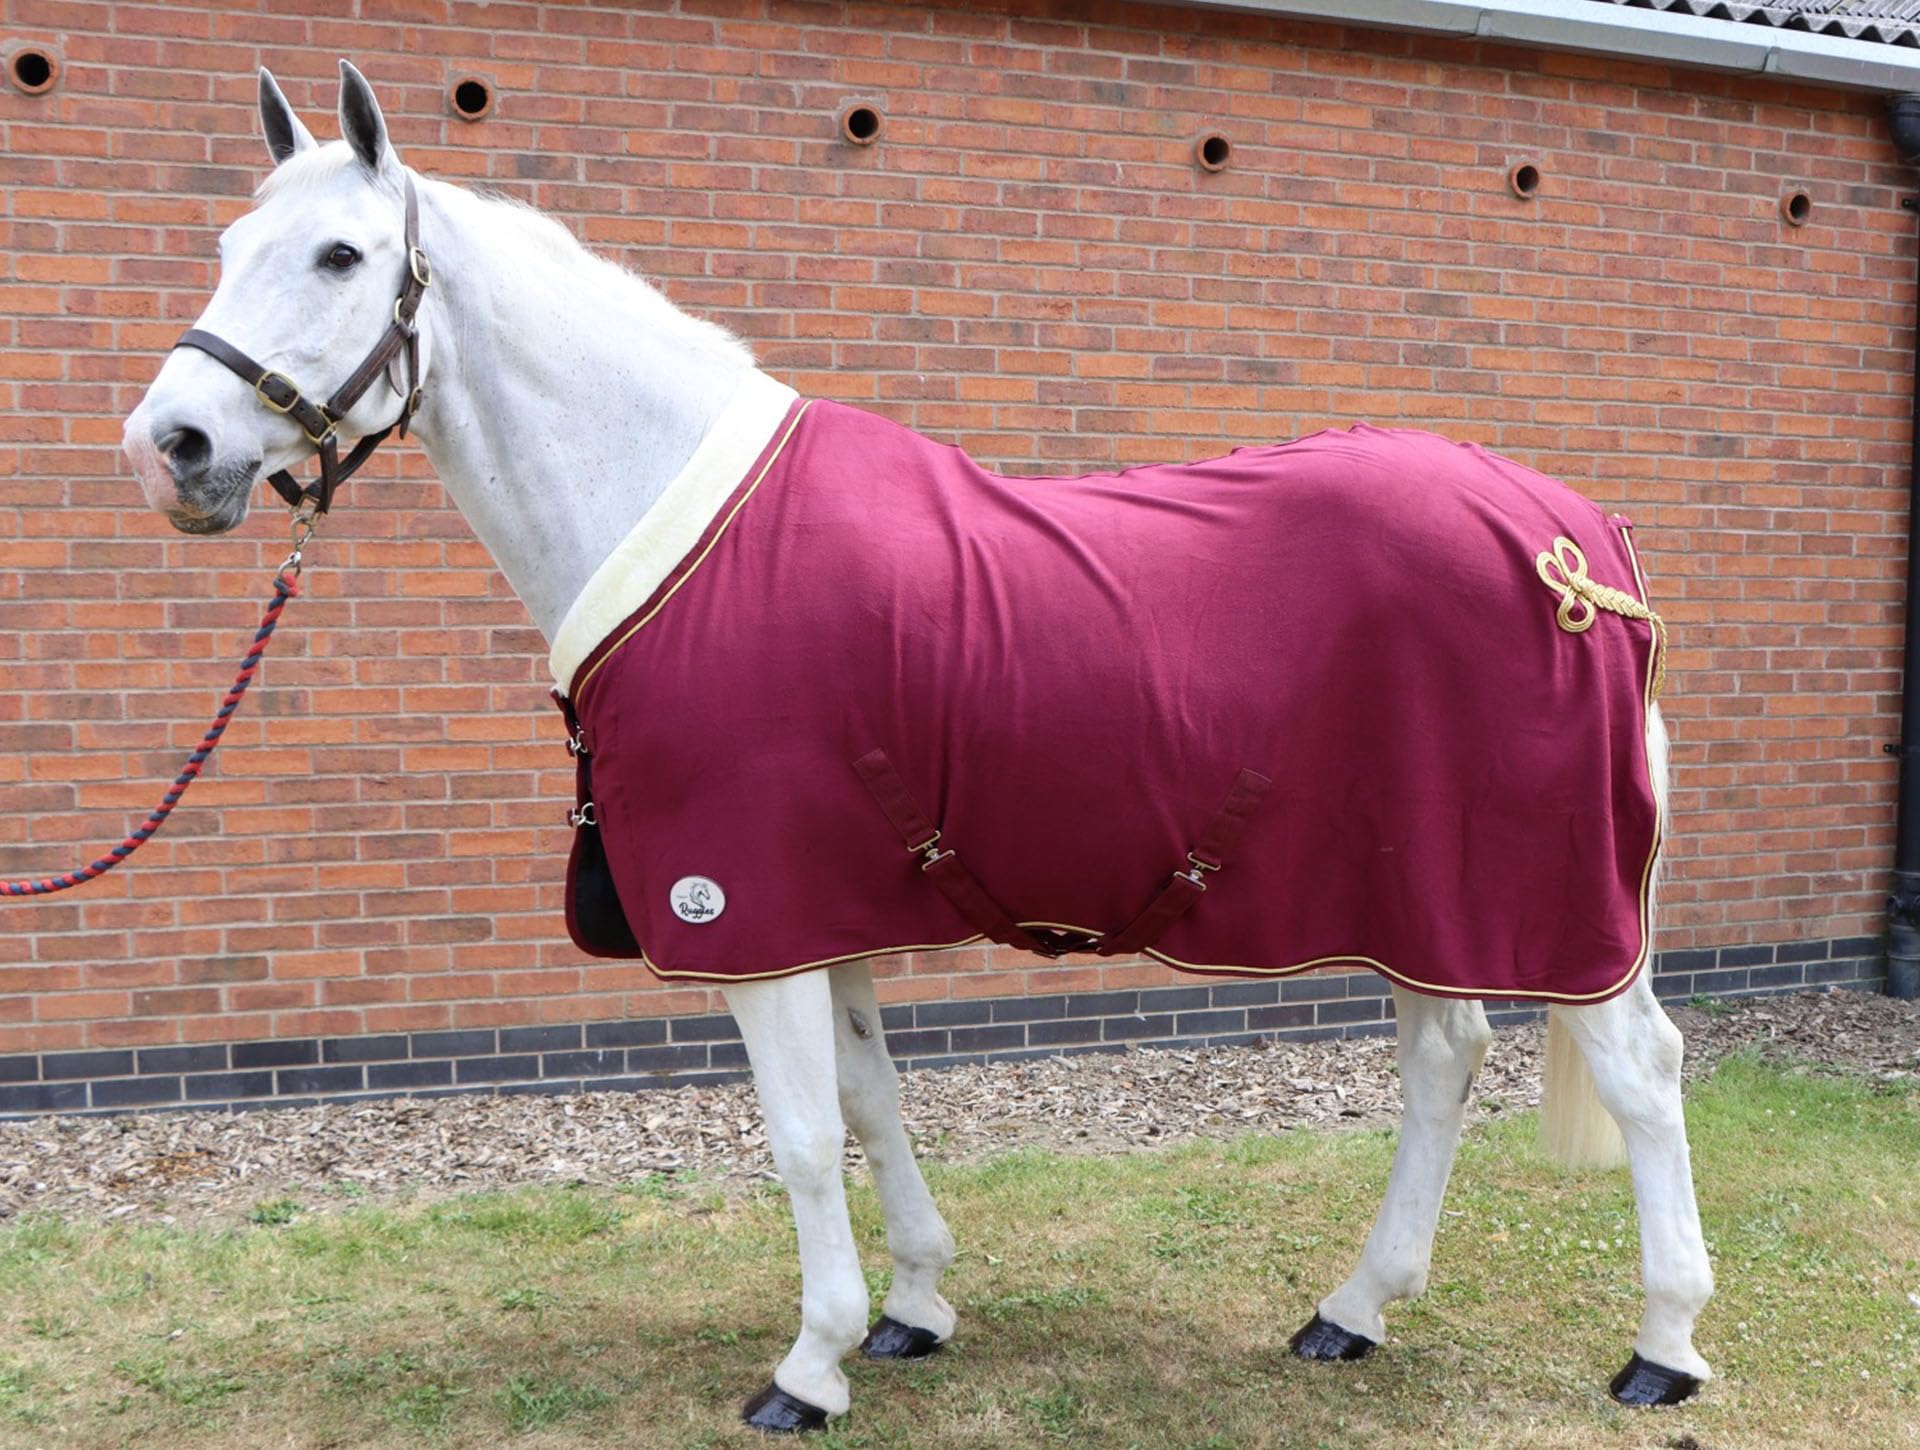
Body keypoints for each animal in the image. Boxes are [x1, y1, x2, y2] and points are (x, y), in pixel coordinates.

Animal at [120, 62, 1714, 1433]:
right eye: (230, 241)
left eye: (339, 255)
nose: (170, 445)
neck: (675, 514)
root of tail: (1581, 544)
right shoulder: (827, 907)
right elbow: (872, 1102)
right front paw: (913, 1309)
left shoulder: (749, 910)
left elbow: (797, 1136)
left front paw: (808, 1365)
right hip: (1418, 892)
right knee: (1446, 1054)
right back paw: (1354, 1309)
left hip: (1539, 897)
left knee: (1640, 1071)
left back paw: (1663, 1346)